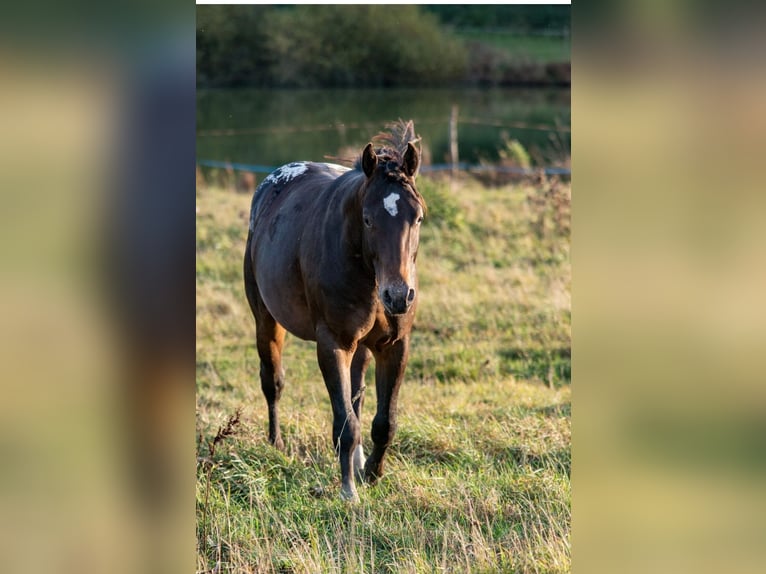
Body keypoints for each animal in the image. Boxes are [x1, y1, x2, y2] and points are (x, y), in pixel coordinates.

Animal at [244, 121, 426, 504]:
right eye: (368, 220)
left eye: (418, 217)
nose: (398, 296)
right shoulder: (333, 344)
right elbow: (345, 423)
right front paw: (348, 491)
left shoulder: (394, 346)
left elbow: (384, 421)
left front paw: (372, 473)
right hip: (266, 319)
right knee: (273, 381)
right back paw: (275, 444)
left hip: (362, 347)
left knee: (357, 392)